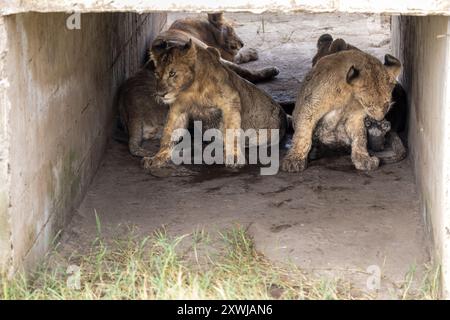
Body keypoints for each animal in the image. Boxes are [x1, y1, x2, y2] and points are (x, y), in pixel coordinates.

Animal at [142, 32, 286, 171]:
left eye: (172, 73)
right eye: (157, 74)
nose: (161, 94)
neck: (190, 89)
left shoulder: (230, 100)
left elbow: (231, 131)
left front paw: (234, 158)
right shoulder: (178, 109)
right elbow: (168, 134)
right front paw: (157, 158)